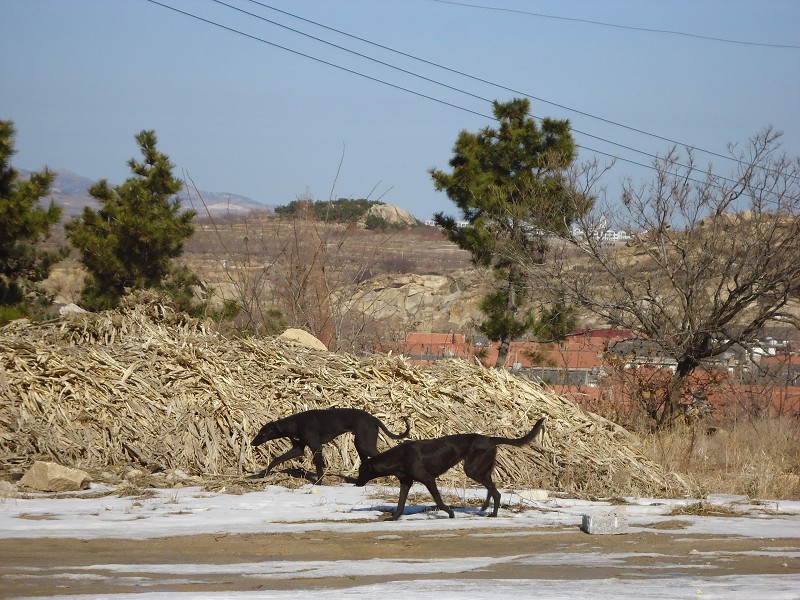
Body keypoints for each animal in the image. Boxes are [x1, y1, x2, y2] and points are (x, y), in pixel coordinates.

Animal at [250, 406, 412, 480]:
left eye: (262, 433)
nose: (252, 443)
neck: (295, 423)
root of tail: (373, 419)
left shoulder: (316, 447)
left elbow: (319, 468)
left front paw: (319, 482)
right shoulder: (298, 449)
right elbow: (276, 459)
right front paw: (261, 474)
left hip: (365, 444)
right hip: (360, 444)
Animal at [354, 418, 544, 520]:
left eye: (361, 471)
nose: (356, 484)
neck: (399, 456)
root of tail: (490, 439)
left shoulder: (428, 479)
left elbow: (438, 500)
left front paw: (450, 514)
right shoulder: (406, 483)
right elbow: (400, 504)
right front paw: (393, 518)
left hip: (473, 469)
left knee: (496, 492)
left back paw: (493, 514)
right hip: (482, 469)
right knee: (492, 489)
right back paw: (484, 509)